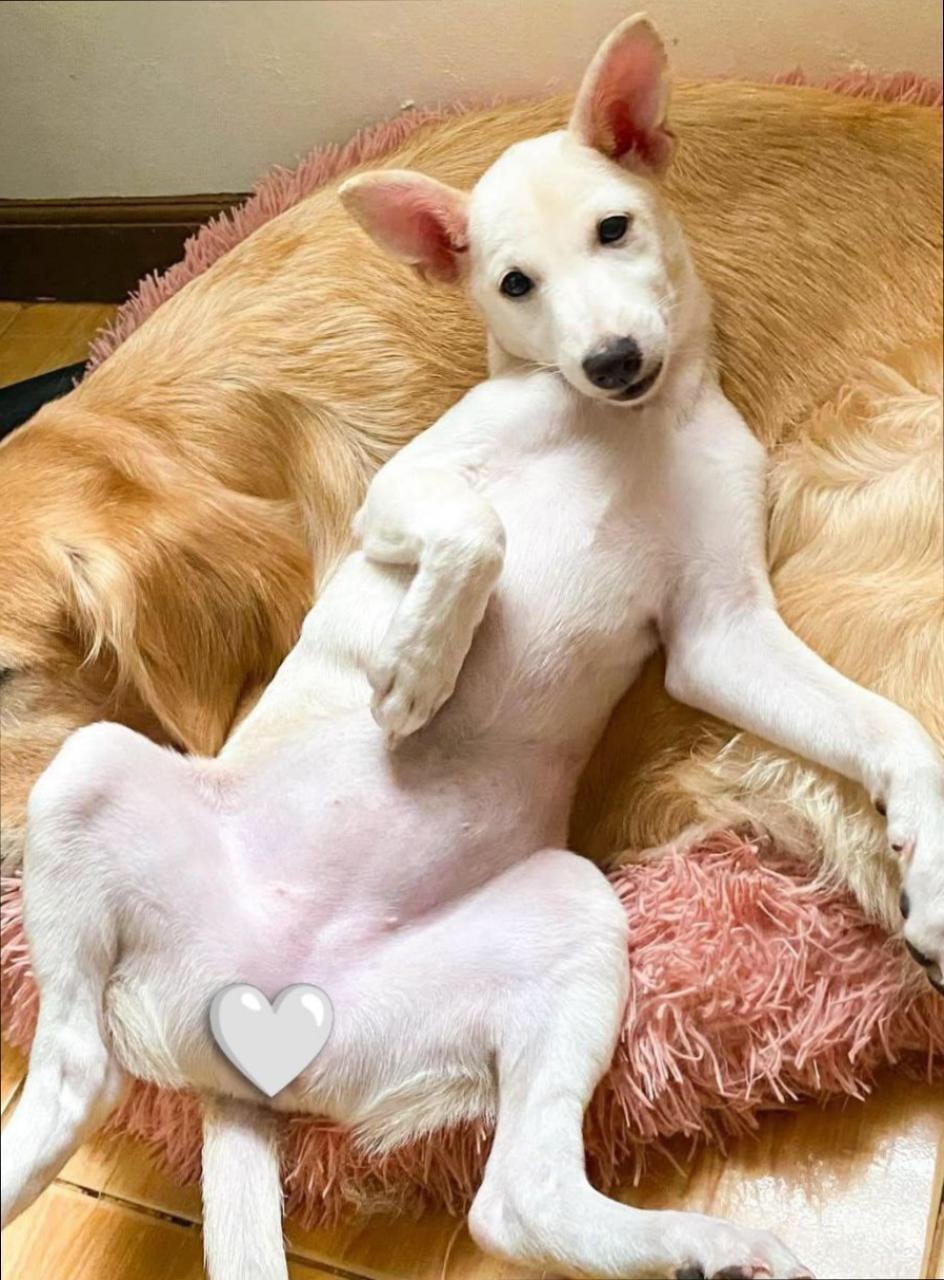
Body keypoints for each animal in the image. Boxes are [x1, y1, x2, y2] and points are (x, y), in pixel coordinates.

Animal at [3, 17, 942, 1279]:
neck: (622, 431)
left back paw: (706, 1246)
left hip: (572, 923)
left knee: (513, 1200)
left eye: (614, 228)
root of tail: (246, 1027)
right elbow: (475, 525)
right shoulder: (400, 489)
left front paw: (927, 857)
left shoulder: (719, 633)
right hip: (89, 766)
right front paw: (416, 669)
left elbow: (890, 727)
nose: (609, 361)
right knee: (68, 1063)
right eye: (512, 284)